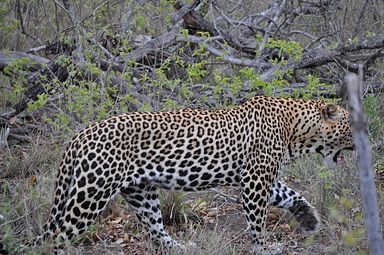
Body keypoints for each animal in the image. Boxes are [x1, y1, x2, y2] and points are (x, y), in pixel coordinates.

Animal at [33, 95, 354, 253]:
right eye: (350, 126)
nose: (360, 141)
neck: (297, 132)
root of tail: (80, 135)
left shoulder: (262, 180)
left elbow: (291, 194)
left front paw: (309, 219)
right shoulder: (255, 180)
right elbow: (257, 222)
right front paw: (263, 248)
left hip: (140, 192)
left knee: (156, 230)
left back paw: (182, 248)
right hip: (91, 194)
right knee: (55, 237)